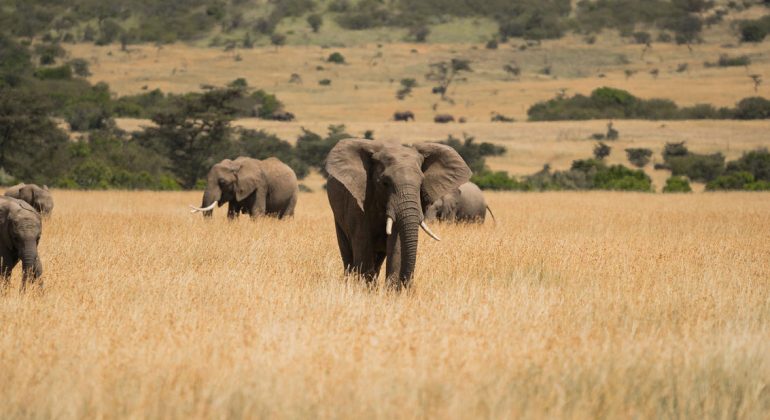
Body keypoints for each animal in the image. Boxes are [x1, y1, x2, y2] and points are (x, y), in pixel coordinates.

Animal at [326, 139, 471, 289]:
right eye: (385, 183)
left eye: (421, 184)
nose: (408, 285)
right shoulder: (359, 200)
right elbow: (362, 240)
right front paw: (365, 288)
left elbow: (396, 243)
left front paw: (391, 290)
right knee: (348, 253)